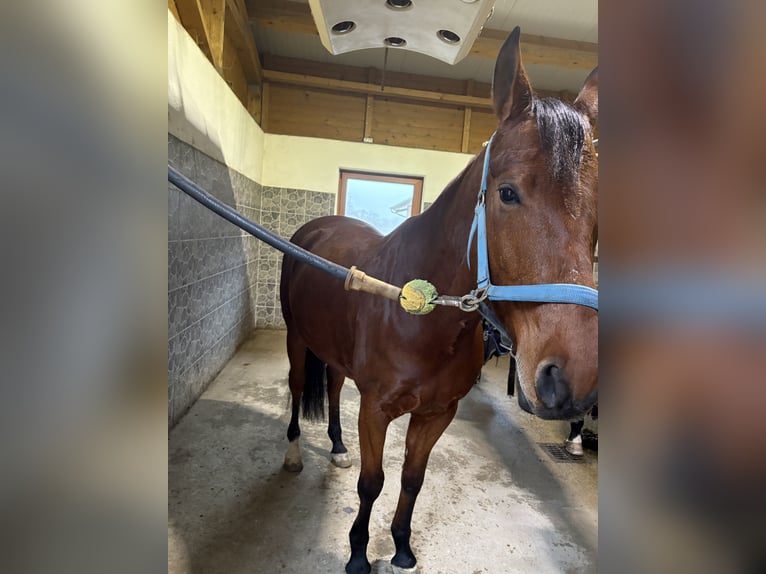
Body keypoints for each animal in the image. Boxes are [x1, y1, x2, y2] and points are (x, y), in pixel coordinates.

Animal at [278, 27, 598, 574]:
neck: (421, 317)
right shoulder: (377, 410)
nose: (570, 379)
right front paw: (358, 553)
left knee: (335, 387)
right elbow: (372, 483)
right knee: (300, 388)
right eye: (507, 193)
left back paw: (338, 446)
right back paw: (296, 455)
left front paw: (402, 547)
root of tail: (316, 228)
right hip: (296, 338)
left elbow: (412, 479)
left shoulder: (436, 414)